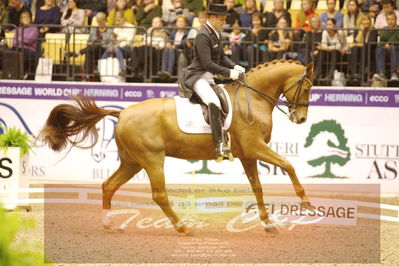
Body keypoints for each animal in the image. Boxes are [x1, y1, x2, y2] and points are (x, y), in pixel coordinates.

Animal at [40, 59, 316, 235]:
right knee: (158, 195)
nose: (301, 119)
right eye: (307, 86)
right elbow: (289, 166)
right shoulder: (255, 148)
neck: (254, 98)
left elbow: (258, 188)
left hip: (132, 161)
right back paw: (182, 227)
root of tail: (123, 113)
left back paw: (109, 225)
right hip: (151, 159)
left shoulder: (248, 155)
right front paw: (306, 203)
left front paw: (268, 224)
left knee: (109, 185)